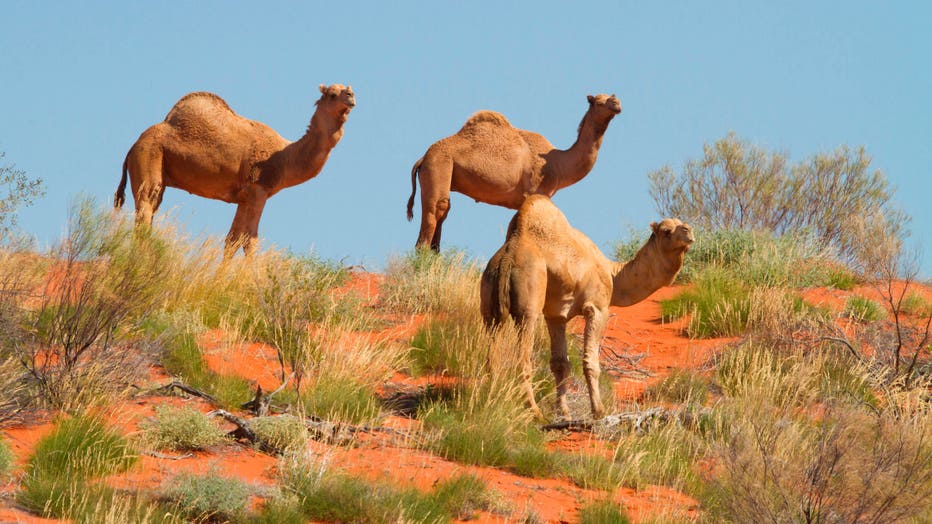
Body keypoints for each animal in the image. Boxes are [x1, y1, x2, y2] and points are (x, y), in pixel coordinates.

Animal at [113, 83, 354, 256]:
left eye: (347, 88)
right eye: (332, 94)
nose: (351, 96)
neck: (284, 156)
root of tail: (133, 146)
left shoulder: (244, 197)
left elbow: (232, 240)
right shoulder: (258, 190)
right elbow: (250, 240)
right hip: (148, 158)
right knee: (144, 211)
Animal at [406, 93, 620, 251]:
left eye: (612, 96)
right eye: (599, 101)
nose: (616, 103)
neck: (557, 162)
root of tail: (422, 158)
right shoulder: (535, 191)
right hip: (438, 166)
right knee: (434, 216)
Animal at [480, 194, 692, 420]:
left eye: (681, 223)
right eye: (666, 230)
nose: (688, 230)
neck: (612, 273)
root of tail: (508, 256)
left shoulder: (556, 315)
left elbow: (560, 364)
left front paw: (564, 413)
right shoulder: (597, 308)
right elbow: (591, 363)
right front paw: (598, 410)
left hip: (489, 296)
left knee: (492, 353)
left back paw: (493, 402)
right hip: (529, 296)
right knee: (523, 355)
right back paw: (534, 411)